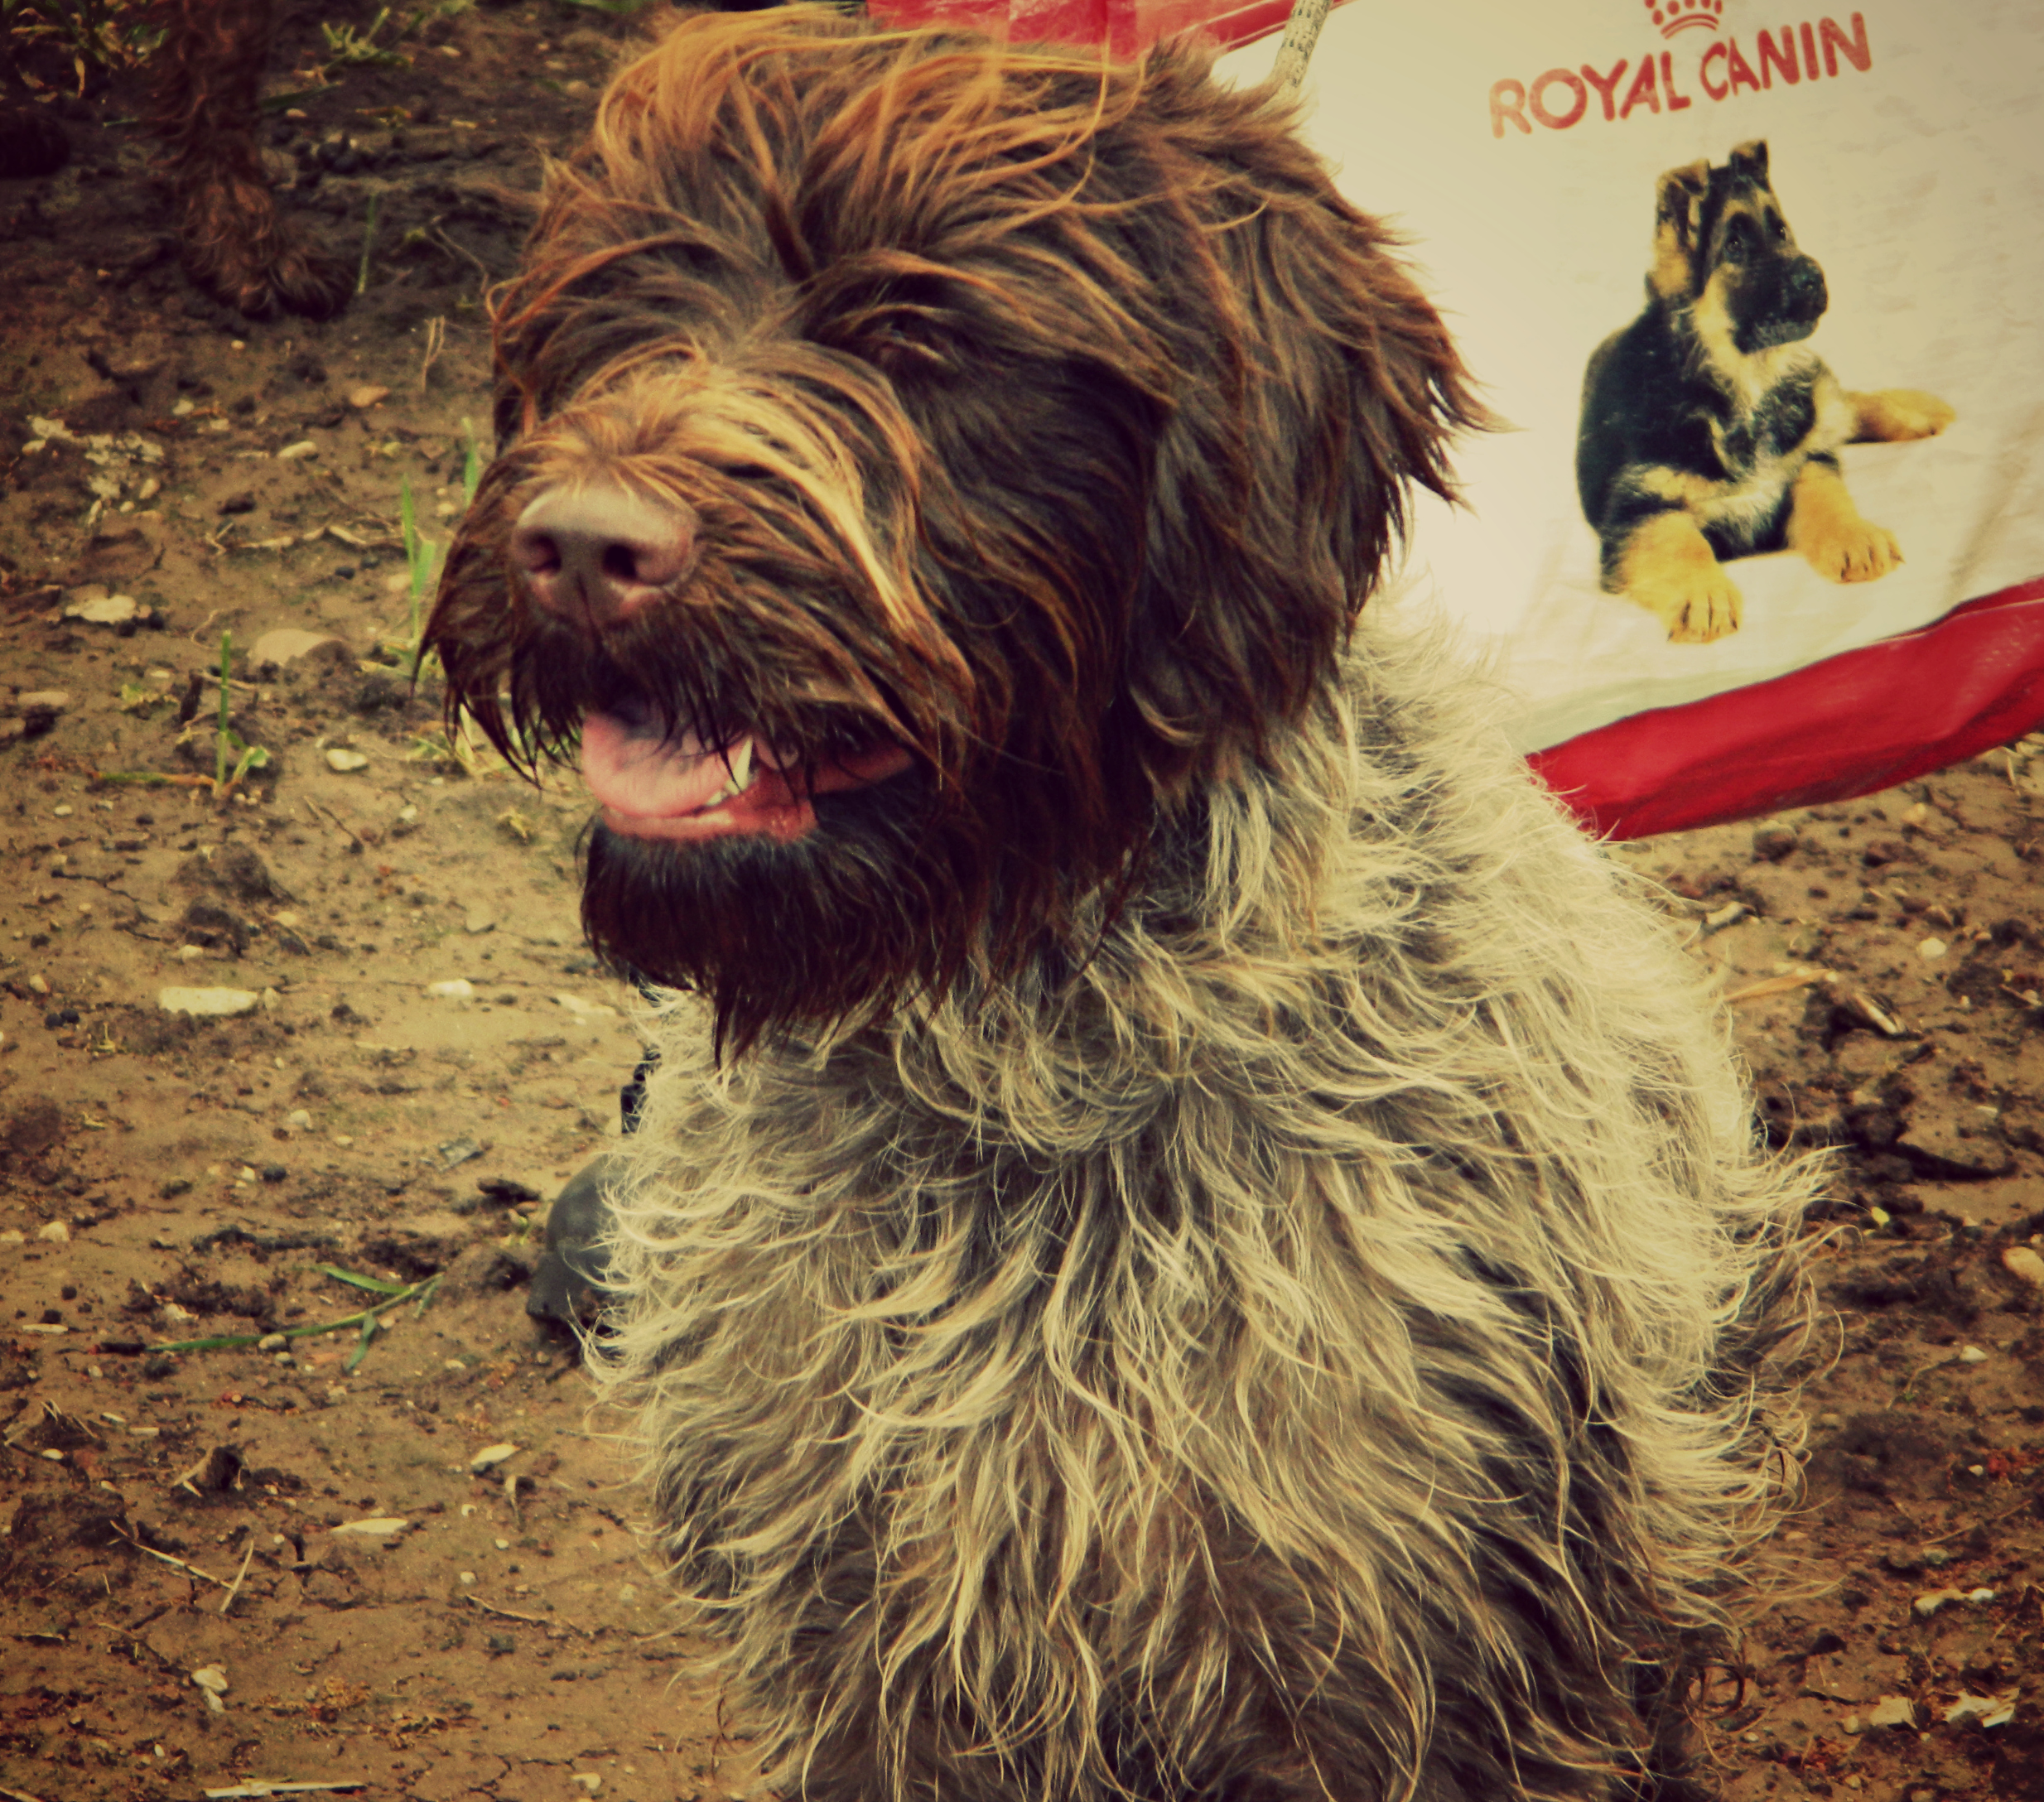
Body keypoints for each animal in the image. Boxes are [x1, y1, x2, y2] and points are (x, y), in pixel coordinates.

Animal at [422, 10, 1815, 1781]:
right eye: (616, 309)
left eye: (923, 332)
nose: (579, 547)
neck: (1022, 1078)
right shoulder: (865, 1658)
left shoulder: (1439, 1671)